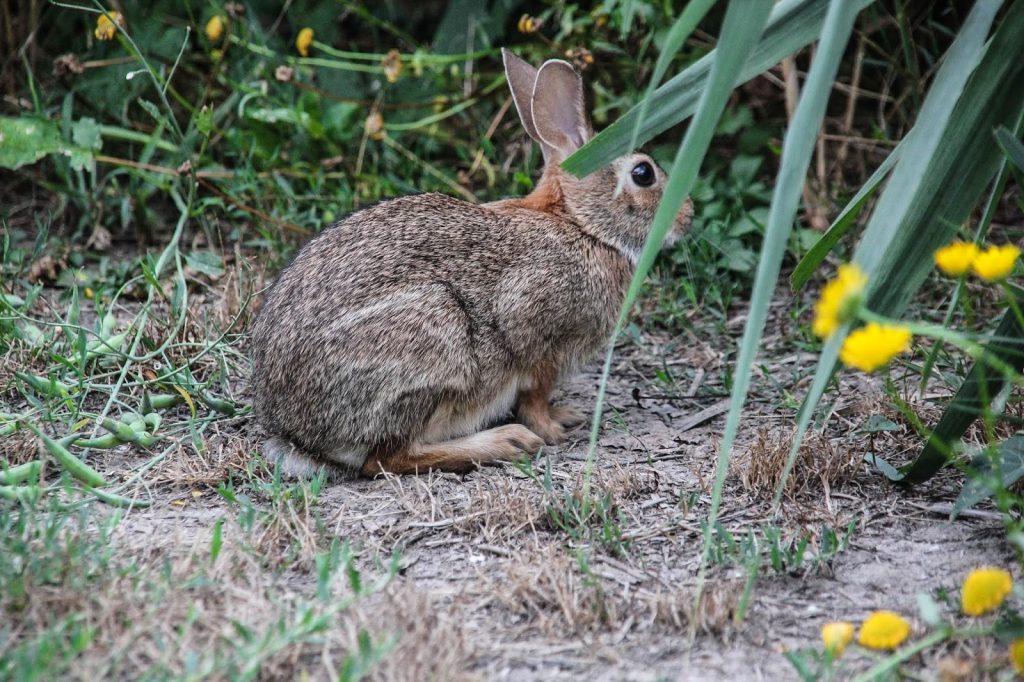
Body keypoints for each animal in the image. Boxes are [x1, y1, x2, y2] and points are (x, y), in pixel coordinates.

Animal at [249, 47, 696, 475]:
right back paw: (505, 442)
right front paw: (551, 429)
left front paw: (565, 415)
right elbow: (535, 391)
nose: (687, 216)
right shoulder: (535, 332)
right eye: (643, 174)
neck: (581, 224)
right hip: (435, 343)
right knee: (386, 460)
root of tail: (299, 433)